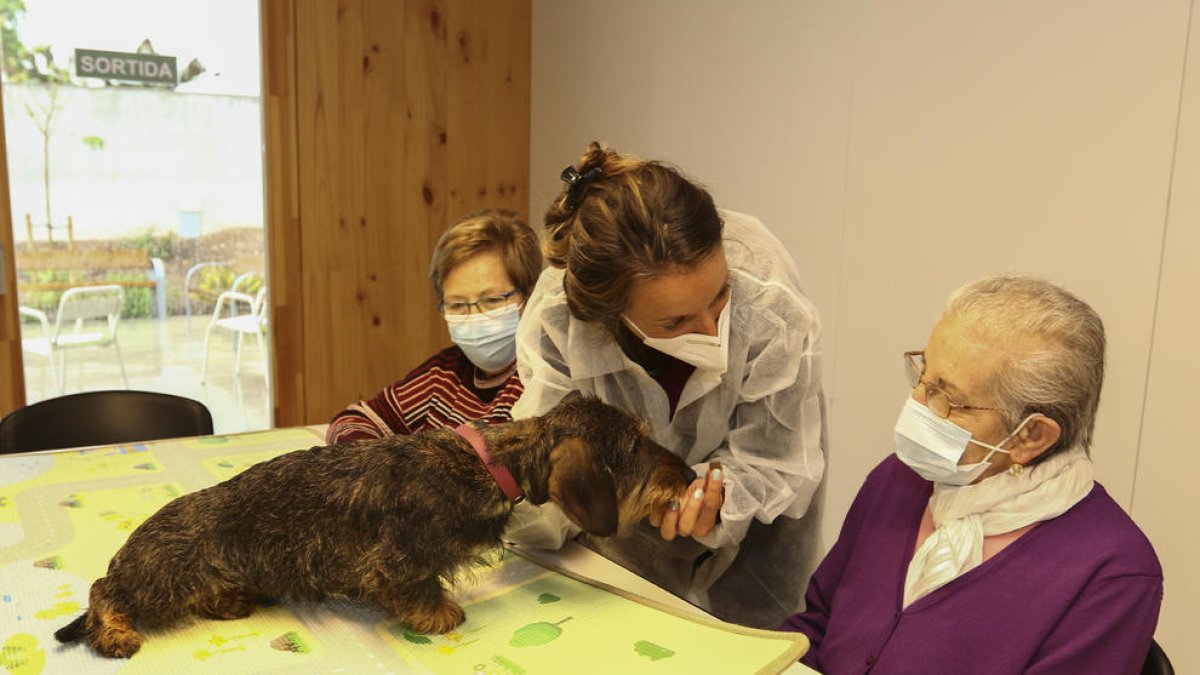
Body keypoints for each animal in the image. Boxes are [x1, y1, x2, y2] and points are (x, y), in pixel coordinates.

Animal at [54, 393, 696, 658]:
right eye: (636, 445)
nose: (690, 474)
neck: (487, 464)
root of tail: (133, 545)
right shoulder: (397, 560)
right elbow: (417, 586)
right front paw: (439, 613)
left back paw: (230, 600)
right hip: (163, 575)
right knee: (104, 590)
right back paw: (114, 633)